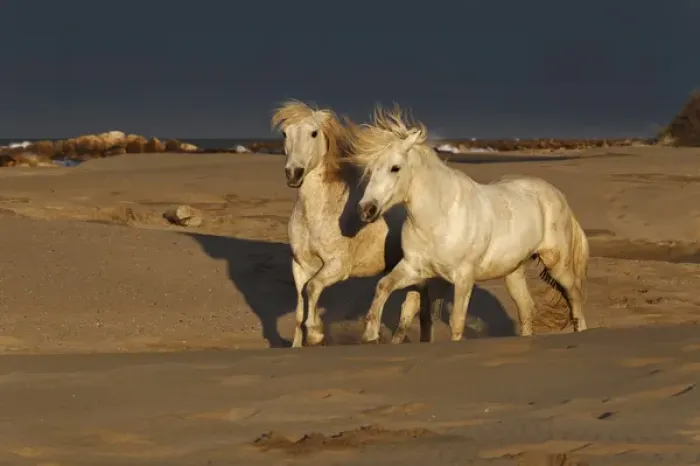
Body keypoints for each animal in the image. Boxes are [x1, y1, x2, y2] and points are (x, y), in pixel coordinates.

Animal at [271, 100, 447, 347]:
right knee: (416, 308)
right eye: (285, 133)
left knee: (411, 312)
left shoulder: (337, 267)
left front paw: (315, 334)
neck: (317, 213)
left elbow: (313, 288)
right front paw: (299, 343)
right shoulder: (300, 266)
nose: (293, 174)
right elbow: (299, 307)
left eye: (313, 133)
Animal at [349, 105, 590, 343]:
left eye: (395, 168)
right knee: (526, 308)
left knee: (575, 296)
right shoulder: (415, 269)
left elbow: (457, 321)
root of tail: (557, 194)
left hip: (557, 264)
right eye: (371, 169)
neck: (439, 219)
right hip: (513, 271)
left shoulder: (463, 277)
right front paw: (370, 334)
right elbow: (386, 289)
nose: (366, 209)